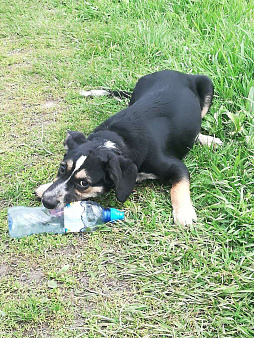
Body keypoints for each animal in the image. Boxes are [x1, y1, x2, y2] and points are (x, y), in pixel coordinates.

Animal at [35, 69, 222, 224]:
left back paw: (208, 140)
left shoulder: (177, 167)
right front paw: (45, 186)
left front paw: (183, 213)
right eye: (62, 168)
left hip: (207, 85)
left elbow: (178, 188)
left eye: (83, 183)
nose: (47, 201)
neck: (116, 140)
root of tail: (173, 71)